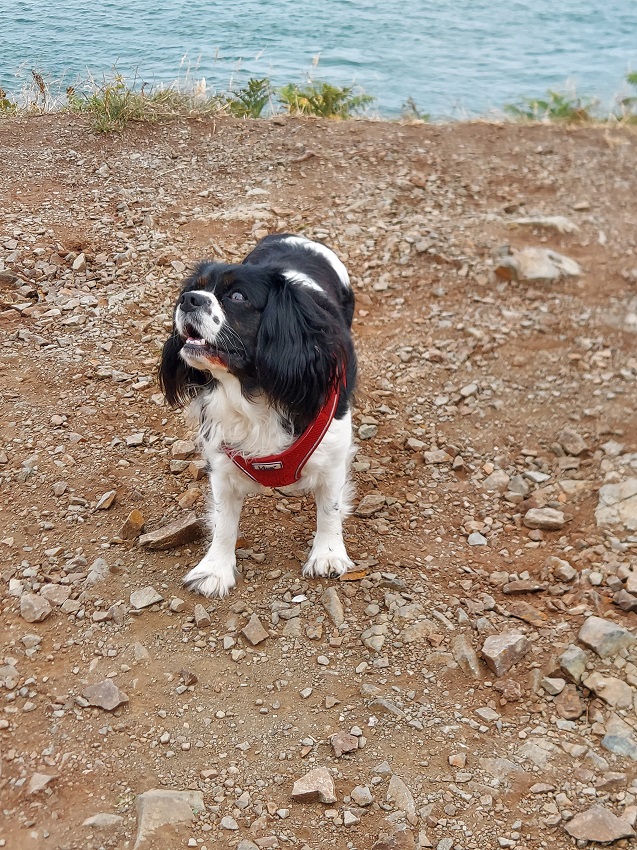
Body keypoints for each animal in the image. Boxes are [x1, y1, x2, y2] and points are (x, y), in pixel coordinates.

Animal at [158, 232, 358, 596]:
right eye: (195, 287)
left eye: (238, 297)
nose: (188, 299)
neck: (251, 391)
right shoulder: (221, 458)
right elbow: (224, 521)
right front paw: (214, 570)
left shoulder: (333, 454)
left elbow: (329, 508)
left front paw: (327, 555)